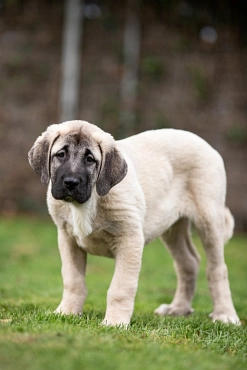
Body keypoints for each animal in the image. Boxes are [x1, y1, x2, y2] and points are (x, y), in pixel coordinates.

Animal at [28, 120, 239, 326]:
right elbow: (73, 280)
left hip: (208, 219)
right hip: (173, 228)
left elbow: (121, 287)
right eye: (61, 154)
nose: (71, 182)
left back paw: (225, 314)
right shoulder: (67, 238)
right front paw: (67, 312)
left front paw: (115, 322)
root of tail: (204, 143)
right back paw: (178, 308)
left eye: (90, 159)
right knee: (188, 262)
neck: (88, 202)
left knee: (217, 268)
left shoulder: (130, 239)